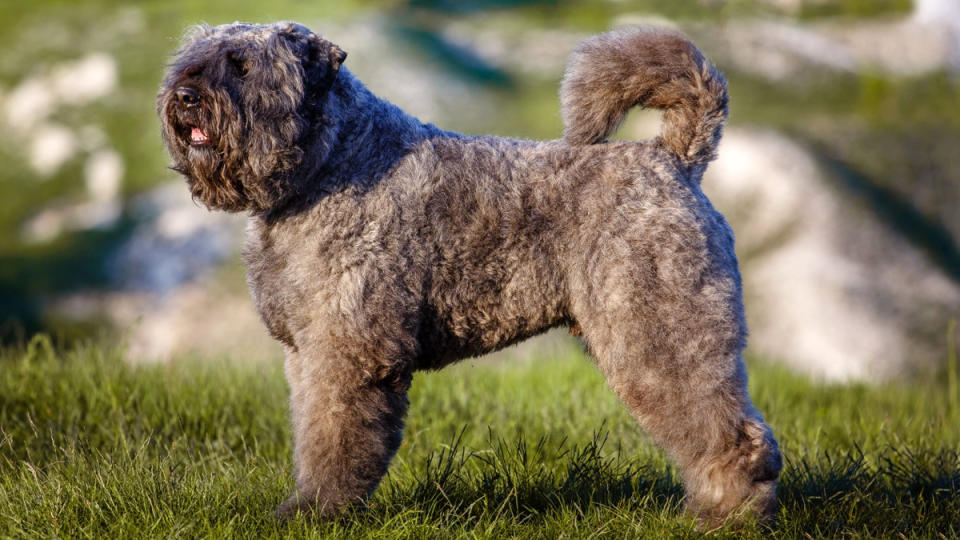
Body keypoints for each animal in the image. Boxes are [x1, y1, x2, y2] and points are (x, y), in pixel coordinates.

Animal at [159, 22, 780, 528]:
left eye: (242, 65)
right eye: (191, 61)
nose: (185, 97)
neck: (331, 161)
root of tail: (671, 158)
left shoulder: (348, 352)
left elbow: (335, 440)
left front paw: (316, 513)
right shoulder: (308, 352)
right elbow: (312, 431)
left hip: (659, 333)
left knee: (731, 433)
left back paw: (726, 515)